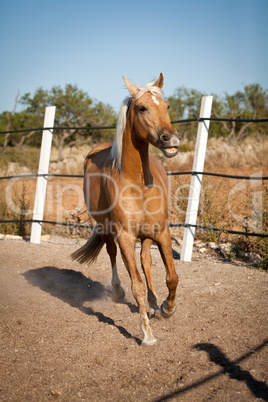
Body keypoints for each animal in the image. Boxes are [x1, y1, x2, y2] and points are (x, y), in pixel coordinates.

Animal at [71, 74, 181, 344]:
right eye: (142, 108)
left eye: (167, 106)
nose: (171, 139)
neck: (137, 183)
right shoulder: (125, 236)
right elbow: (137, 285)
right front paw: (147, 334)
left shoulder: (161, 233)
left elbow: (171, 277)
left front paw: (167, 308)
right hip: (108, 229)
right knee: (114, 256)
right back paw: (119, 291)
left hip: (146, 236)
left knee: (145, 261)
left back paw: (154, 302)